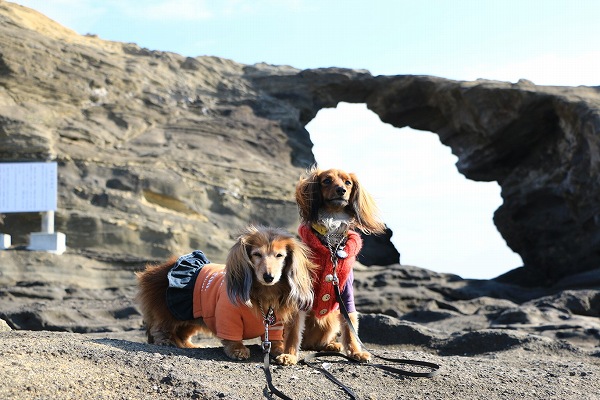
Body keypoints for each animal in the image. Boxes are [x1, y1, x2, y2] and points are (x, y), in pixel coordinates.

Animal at [135, 227, 314, 364]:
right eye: (256, 254)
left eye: (280, 255)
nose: (268, 277)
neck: (264, 293)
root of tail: (156, 270)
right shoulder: (227, 314)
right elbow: (231, 335)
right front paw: (238, 350)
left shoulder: (274, 322)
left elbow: (281, 337)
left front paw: (284, 352)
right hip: (170, 311)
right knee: (161, 328)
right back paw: (168, 341)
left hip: (191, 317)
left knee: (182, 333)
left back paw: (188, 345)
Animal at [294, 166, 384, 362]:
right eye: (326, 181)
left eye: (348, 182)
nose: (341, 190)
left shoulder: (346, 292)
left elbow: (349, 326)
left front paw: (356, 352)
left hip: (330, 318)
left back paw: (331, 345)